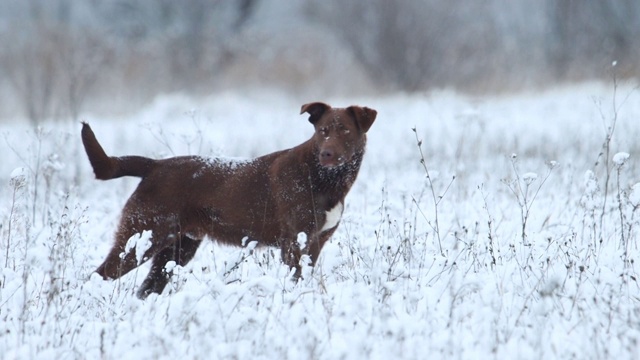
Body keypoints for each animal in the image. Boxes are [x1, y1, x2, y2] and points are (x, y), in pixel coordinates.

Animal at [82, 101, 378, 298]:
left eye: (345, 131)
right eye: (323, 131)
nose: (327, 154)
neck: (322, 178)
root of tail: (154, 166)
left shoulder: (316, 242)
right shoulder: (294, 241)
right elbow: (294, 276)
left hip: (177, 249)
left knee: (146, 288)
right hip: (141, 239)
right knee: (98, 274)